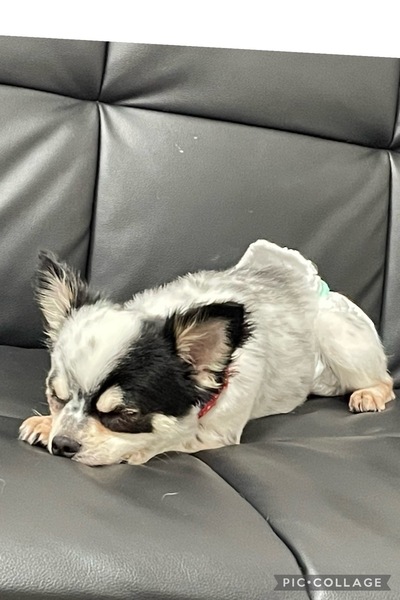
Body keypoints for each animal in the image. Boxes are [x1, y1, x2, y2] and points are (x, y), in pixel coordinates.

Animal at [19, 239, 394, 466]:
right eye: (55, 396)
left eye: (125, 415)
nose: (63, 444)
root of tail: (313, 283)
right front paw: (46, 423)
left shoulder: (214, 434)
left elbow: (170, 437)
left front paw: (138, 449)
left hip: (337, 335)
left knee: (385, 380)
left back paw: (369, 394)